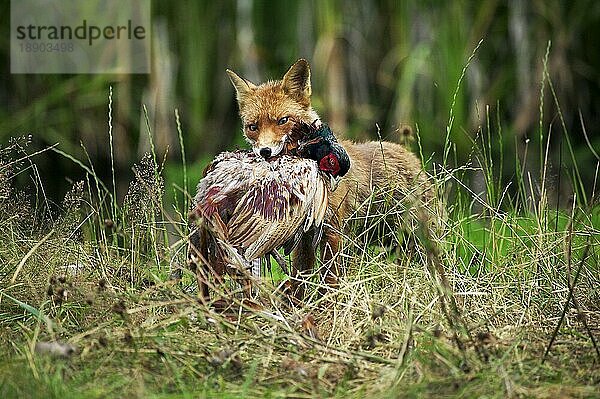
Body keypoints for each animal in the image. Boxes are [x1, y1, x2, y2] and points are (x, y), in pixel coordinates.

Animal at [227, 58, 434, 296]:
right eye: (252, 127)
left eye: (282, 120)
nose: (265, 152)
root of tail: (412, 158)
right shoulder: (304, 238)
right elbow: (299, 280)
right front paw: (299, 304)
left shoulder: (333, 232)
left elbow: (330, 282)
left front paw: (328, 304)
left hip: (415, 241)